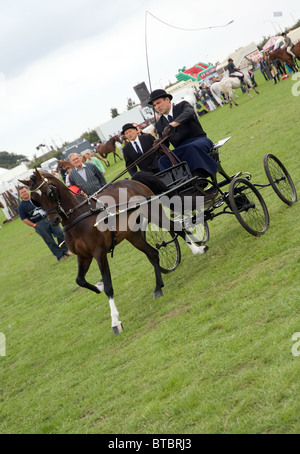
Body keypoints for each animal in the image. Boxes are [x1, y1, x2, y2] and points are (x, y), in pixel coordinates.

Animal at [19, 168, 207, 336]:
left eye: (49, 193)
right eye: (35, 200)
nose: (54, 220)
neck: (79, 217)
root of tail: (132, 181)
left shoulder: (99, 253)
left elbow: (109, 287)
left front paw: (116, 321)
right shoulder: (83, 256)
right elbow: (80, 280)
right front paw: (98, 286)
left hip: (155, 212)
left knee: (177, 229)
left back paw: (198, 249)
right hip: (133, 234)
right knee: (153, 253)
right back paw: (158, 288)